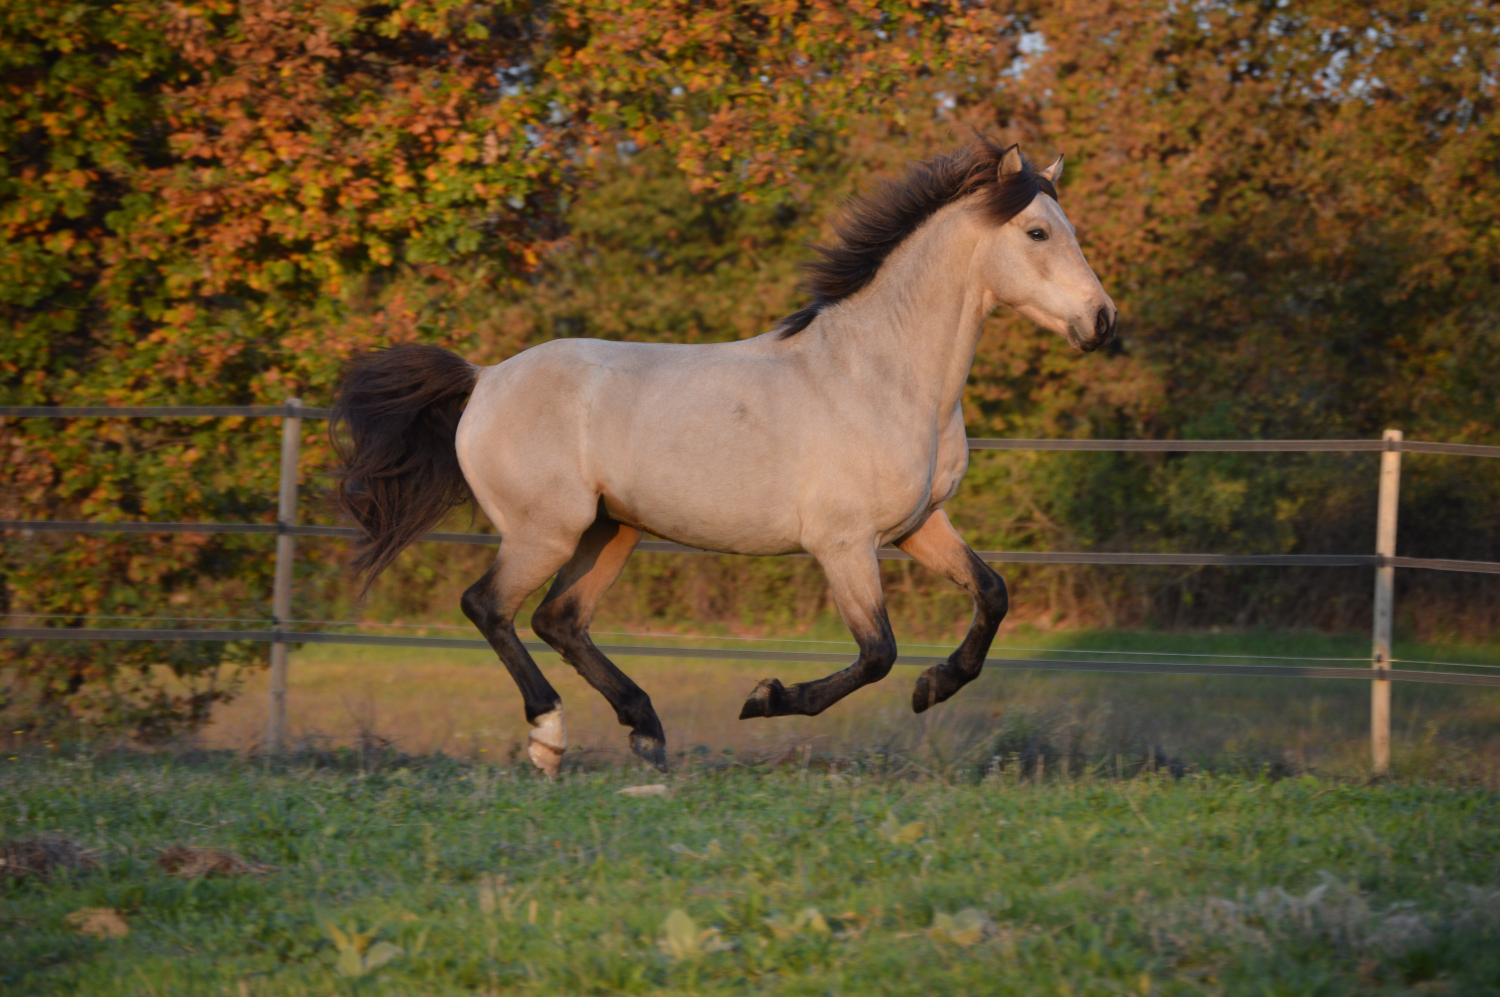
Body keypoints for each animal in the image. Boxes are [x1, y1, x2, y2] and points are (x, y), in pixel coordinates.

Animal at [333, 140, 1116, 776]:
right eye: (1039, 231)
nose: (1103, 321)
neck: (881, 374)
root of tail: (485, 378)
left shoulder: (920, 526)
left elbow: (992, 593)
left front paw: (934, 686)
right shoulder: (843, 543)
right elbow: (876, 653)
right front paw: (766, 698)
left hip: (610, 530)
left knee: (560, 619)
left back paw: (646, 730)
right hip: (543, 531)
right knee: (489, 607)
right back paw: (549, 738)